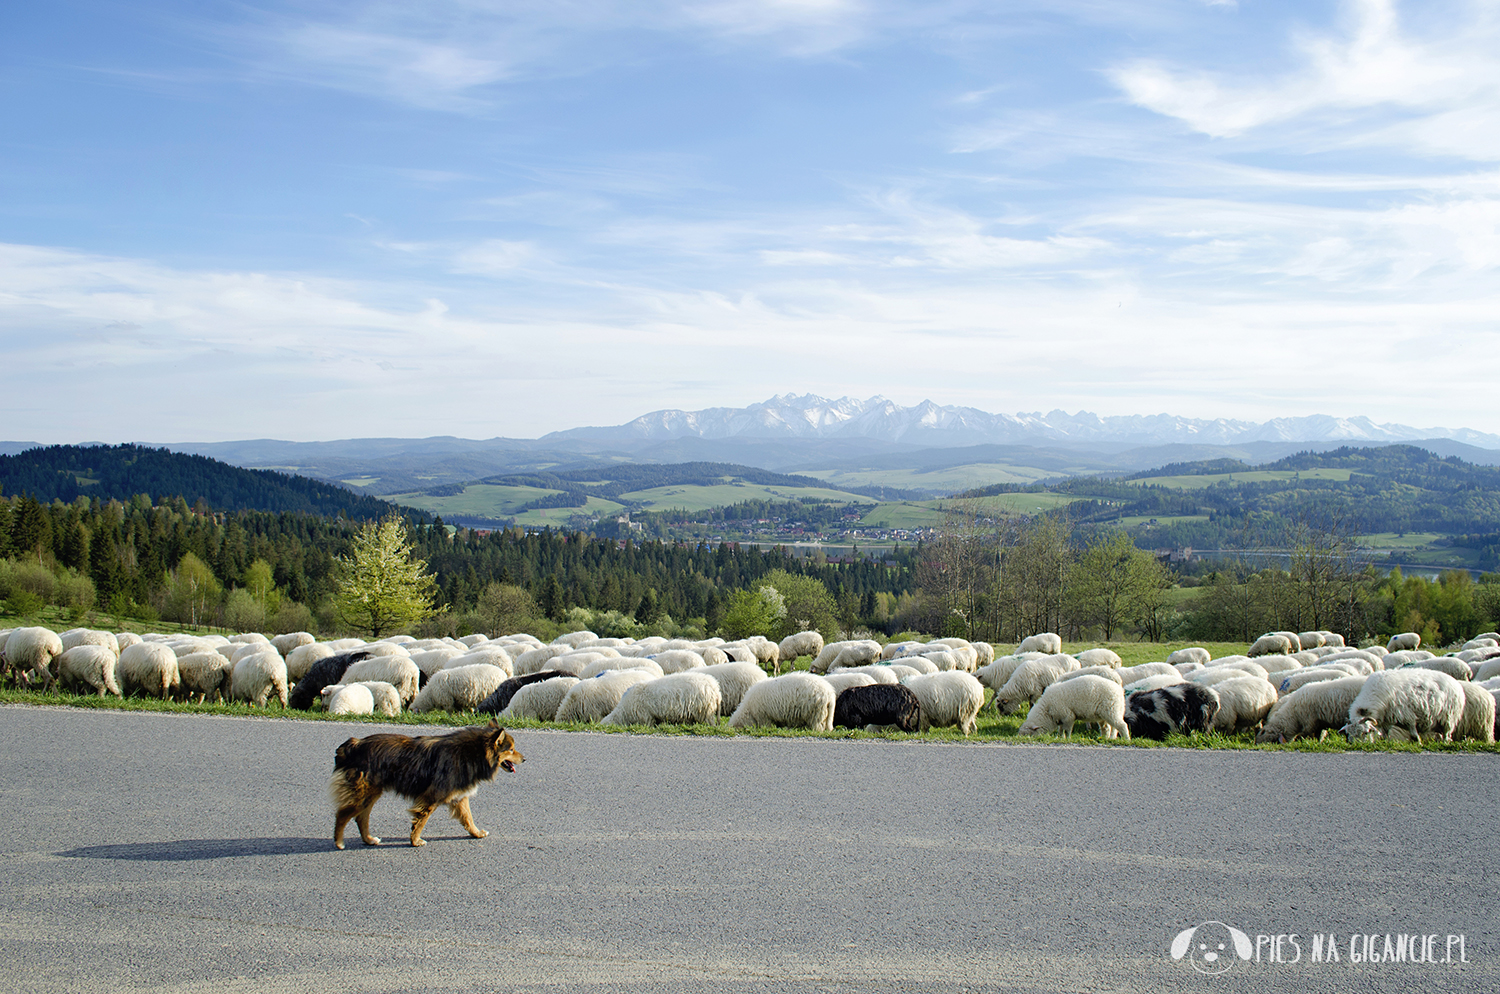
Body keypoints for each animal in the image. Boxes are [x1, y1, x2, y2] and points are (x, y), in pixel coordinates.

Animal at [331, 719, 525, 851]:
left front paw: (476, 833)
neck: (474, 753)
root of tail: (354, 745)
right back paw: (339, 842)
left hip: (370, 794)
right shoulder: (431, 797)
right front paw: (415, 841)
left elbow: (468, 819)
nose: (524, 759)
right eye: (511, 749)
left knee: (361, 818)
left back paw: (369, 840)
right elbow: (421, 820)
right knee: (342, 815)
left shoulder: (459, 797)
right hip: (363, 794)